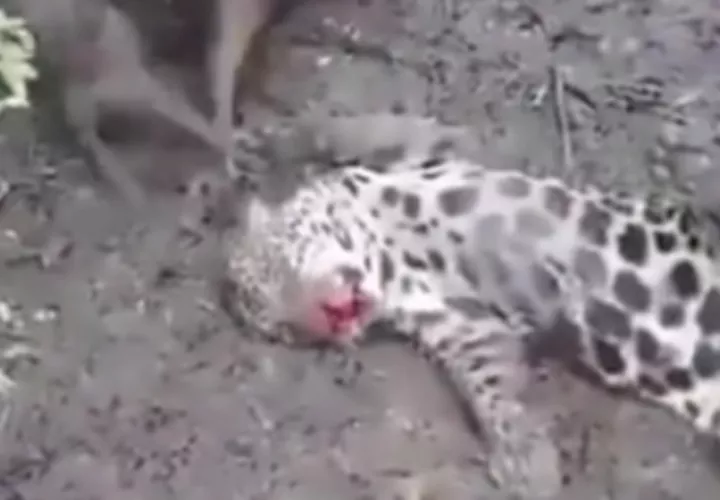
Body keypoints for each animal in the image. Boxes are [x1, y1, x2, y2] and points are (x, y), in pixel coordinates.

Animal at [220, 120, 720, 498]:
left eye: (285, 264)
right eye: (286, 330)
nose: (326, 319)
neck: (388, 260)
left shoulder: (441, 154)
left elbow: (366, 131)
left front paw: (274, 140)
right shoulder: (465, 328)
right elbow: (488, 388)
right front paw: (526, 460)